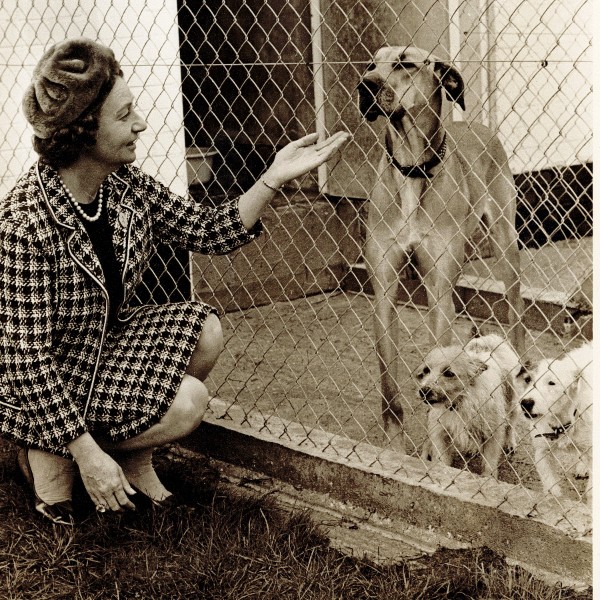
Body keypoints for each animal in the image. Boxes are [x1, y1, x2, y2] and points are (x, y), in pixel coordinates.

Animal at [358, 45, 524, 450]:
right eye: (371, 64)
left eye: (405, 63)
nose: (365, 86)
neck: (412, 170)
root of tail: (478, 124)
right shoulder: (383, 291)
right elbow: (388, 384)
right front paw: (395, 445)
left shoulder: (437, 292)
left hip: (506, 253)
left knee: (516, 333)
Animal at [414, 332, 524, 478]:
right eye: (426, 370)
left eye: (449, 373)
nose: (424, 391)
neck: (459, 403)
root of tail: (490, 340)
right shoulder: (441, 433)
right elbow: (443, 462)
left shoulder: (493, 435)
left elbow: (489, 463)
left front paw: (488, 478)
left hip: (513, 404)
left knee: (511, 424)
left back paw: (510, 443)